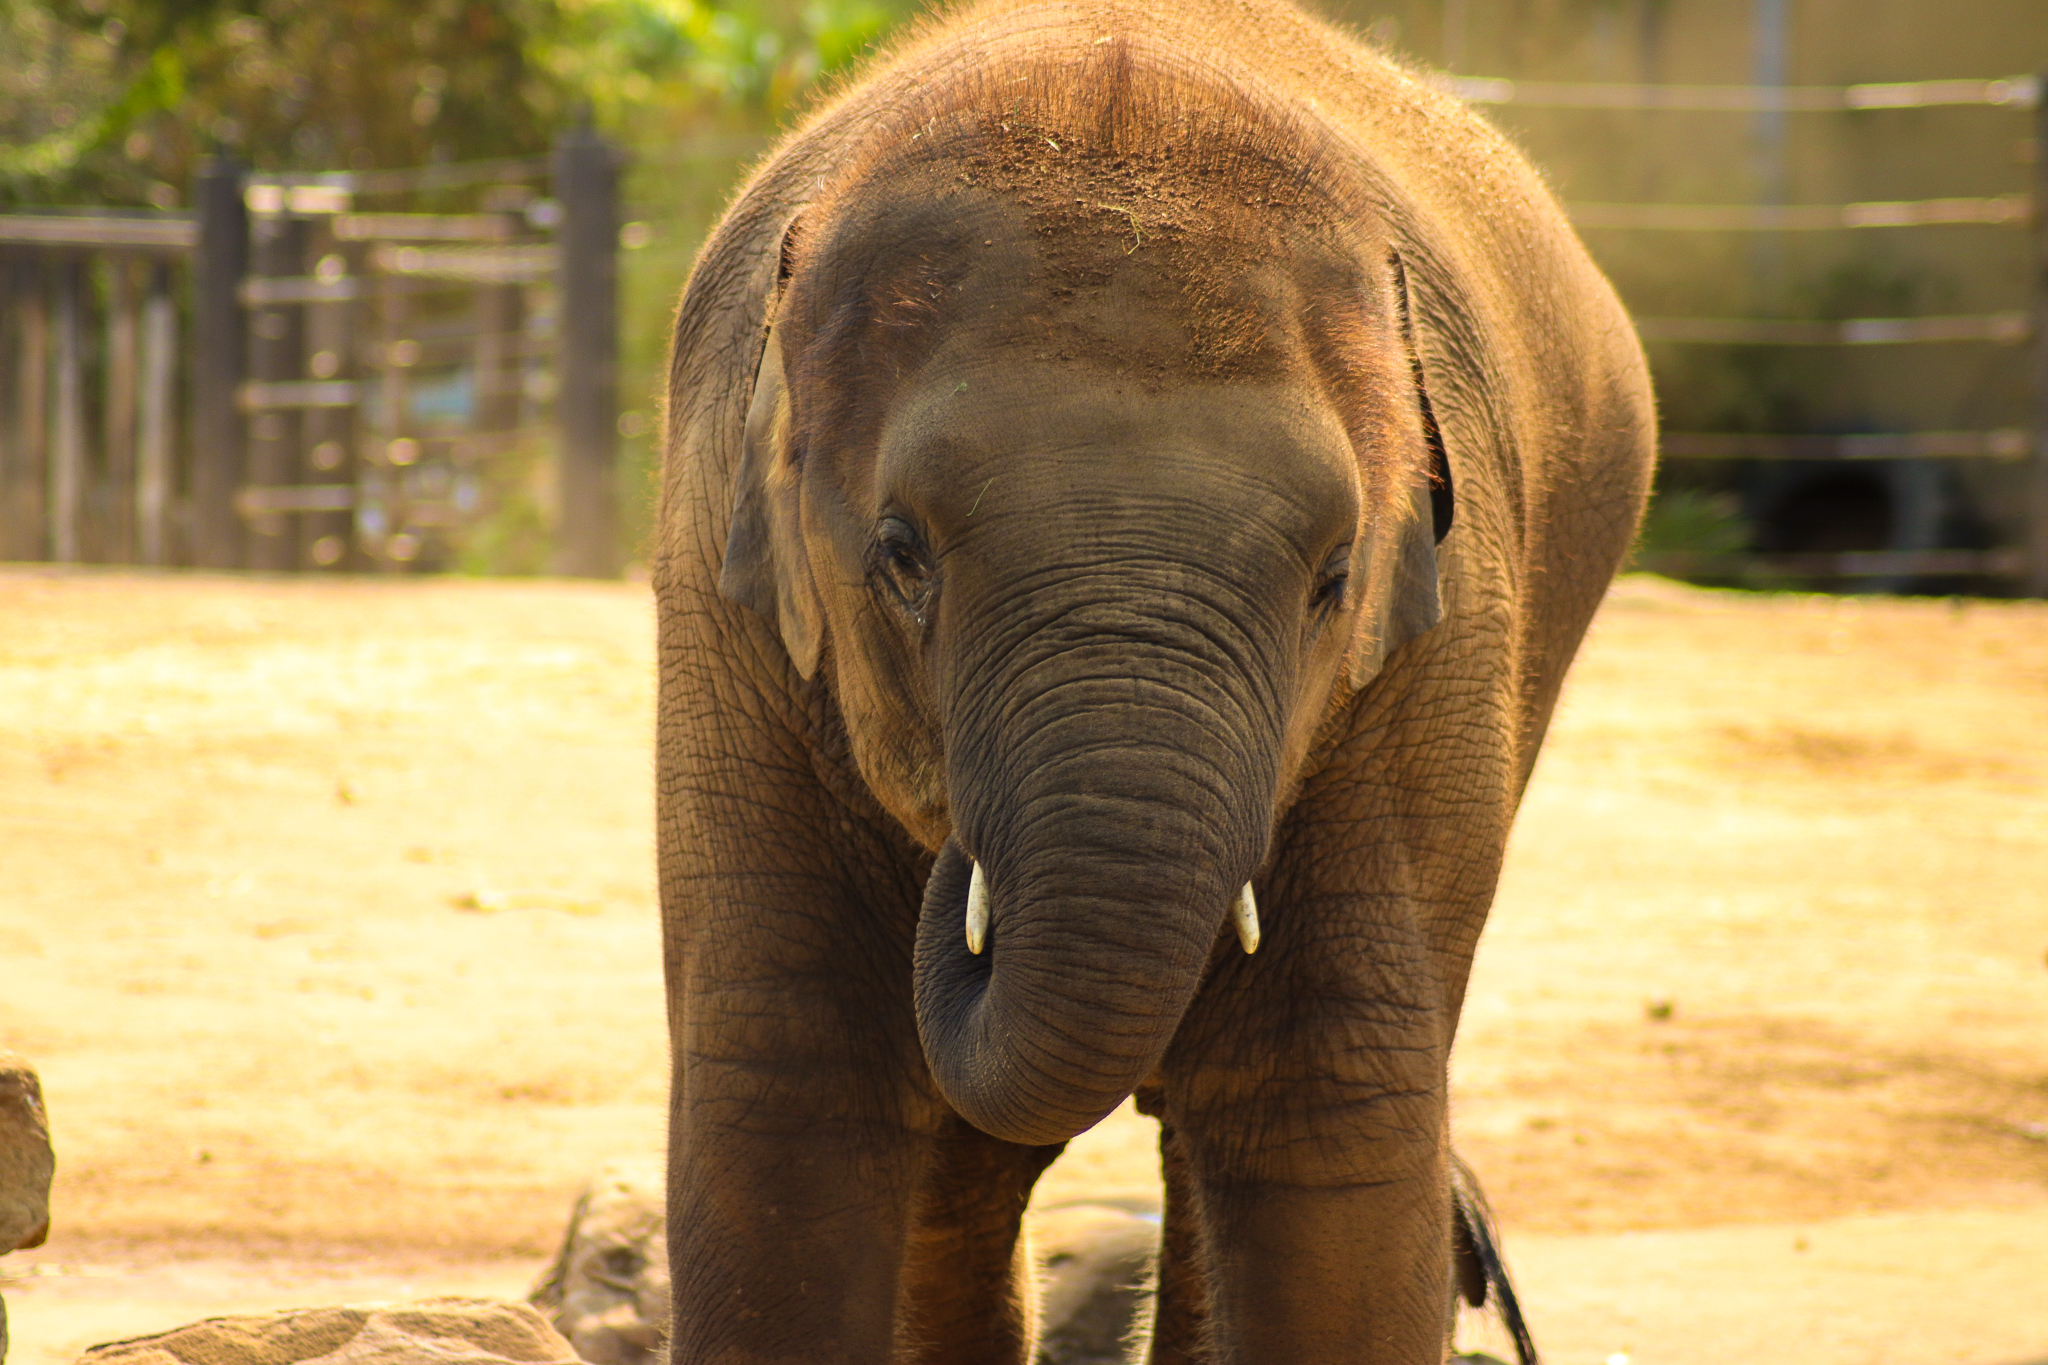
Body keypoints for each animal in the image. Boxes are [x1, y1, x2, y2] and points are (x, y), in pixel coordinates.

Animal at [652, 1, 1654, 1362]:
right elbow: (787, 1079)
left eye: (1333, 578)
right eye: (901, 555)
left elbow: (1322, 1108)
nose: (953, 845)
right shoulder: (724, 617)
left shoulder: (1435, 654)